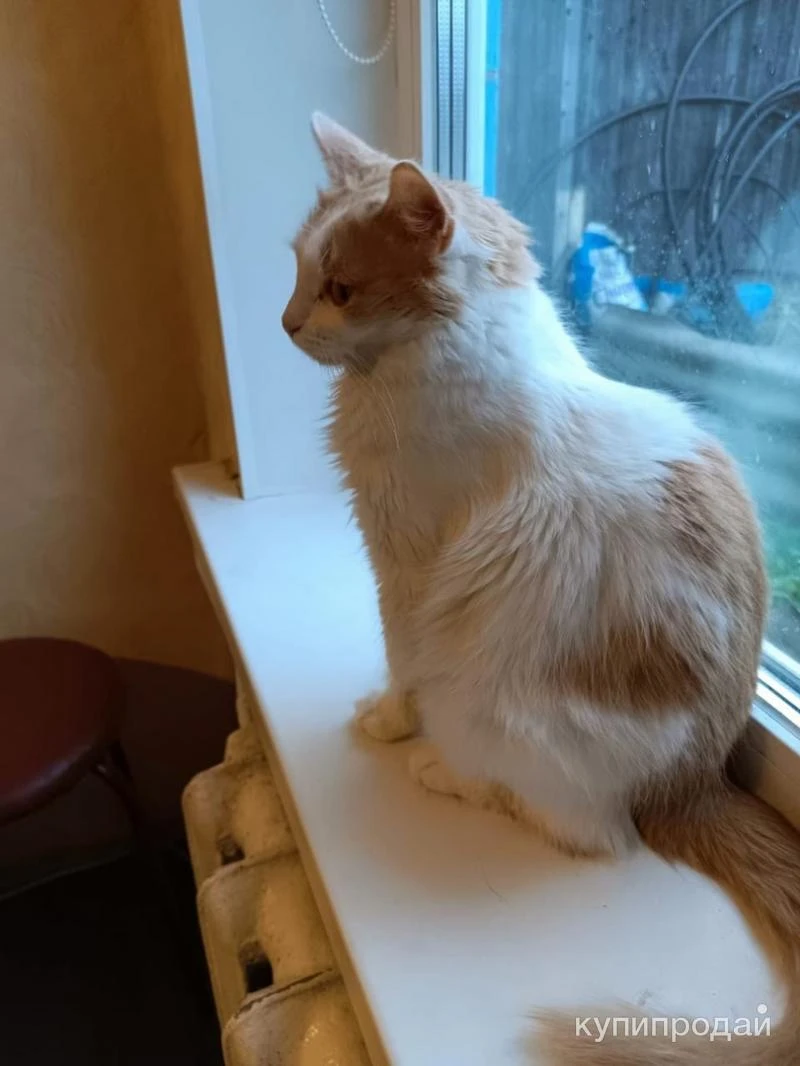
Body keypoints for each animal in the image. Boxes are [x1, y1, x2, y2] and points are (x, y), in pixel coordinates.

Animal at [282, 112, 800, 1064]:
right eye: (297, 271)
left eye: (339, 288)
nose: (287, 321)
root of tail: (692, 782)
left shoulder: (404, 566)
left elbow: (400, 661)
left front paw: (385, 720)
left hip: (497, 711)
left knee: (583, 831)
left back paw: (441, 770)